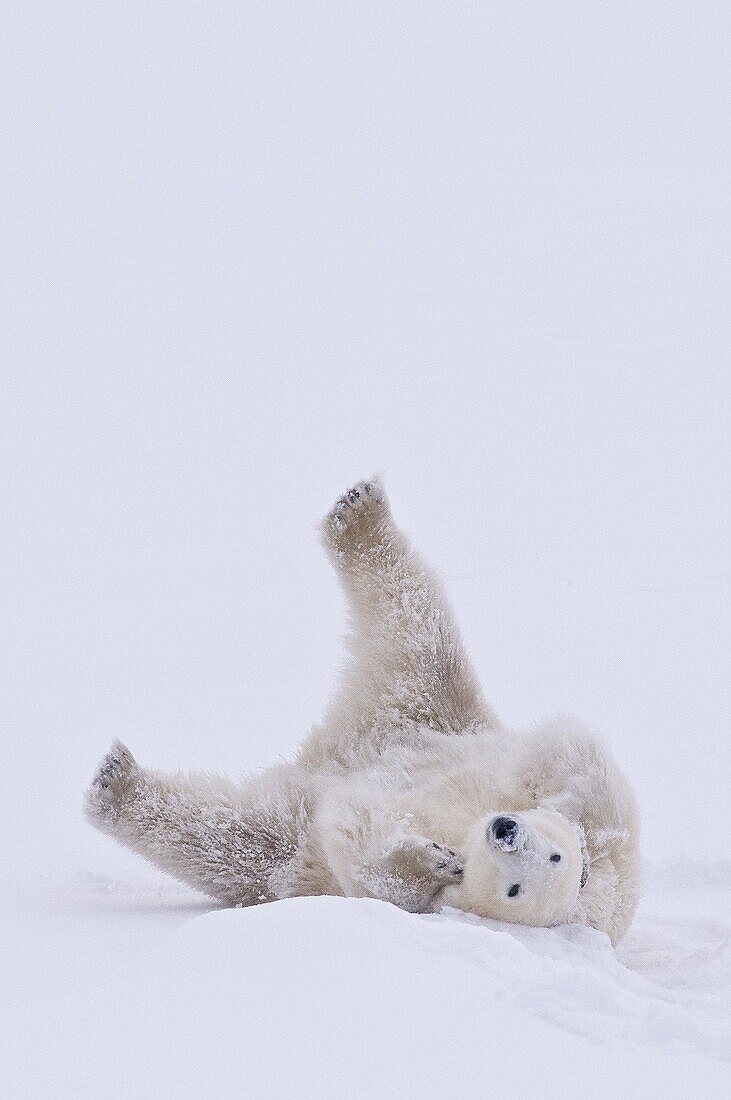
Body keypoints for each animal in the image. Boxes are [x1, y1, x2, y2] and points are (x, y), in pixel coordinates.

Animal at [86, 477, 637, 941]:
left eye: (515, 890)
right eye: (555, 854)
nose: (505, 831)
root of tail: (340, 751)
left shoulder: (419, 898)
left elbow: (375, 874)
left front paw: (431, 861)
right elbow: (584, 765)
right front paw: (566, 811)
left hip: (299, 832)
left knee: (229, 838)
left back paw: (115, 784)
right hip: (428, 712)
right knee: (421, 630)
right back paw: (358, 512)